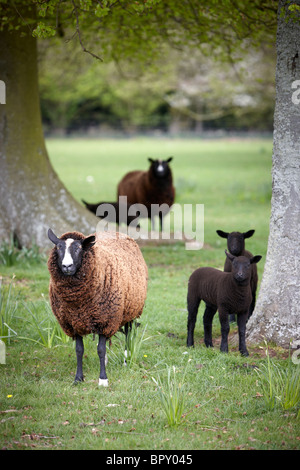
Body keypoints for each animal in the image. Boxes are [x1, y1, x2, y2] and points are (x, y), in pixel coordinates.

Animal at [46, 229, 148, 388]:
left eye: (78, 248)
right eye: (58, 248)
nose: (67, 266)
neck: (78, 304)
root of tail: (115, 231)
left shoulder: (105, 320)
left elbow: (100, 349)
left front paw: (103, 379)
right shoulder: (74, 323)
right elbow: (79, 350)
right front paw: (78, 378)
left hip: (129, 310)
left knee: (127, 335)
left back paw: (126, 361)